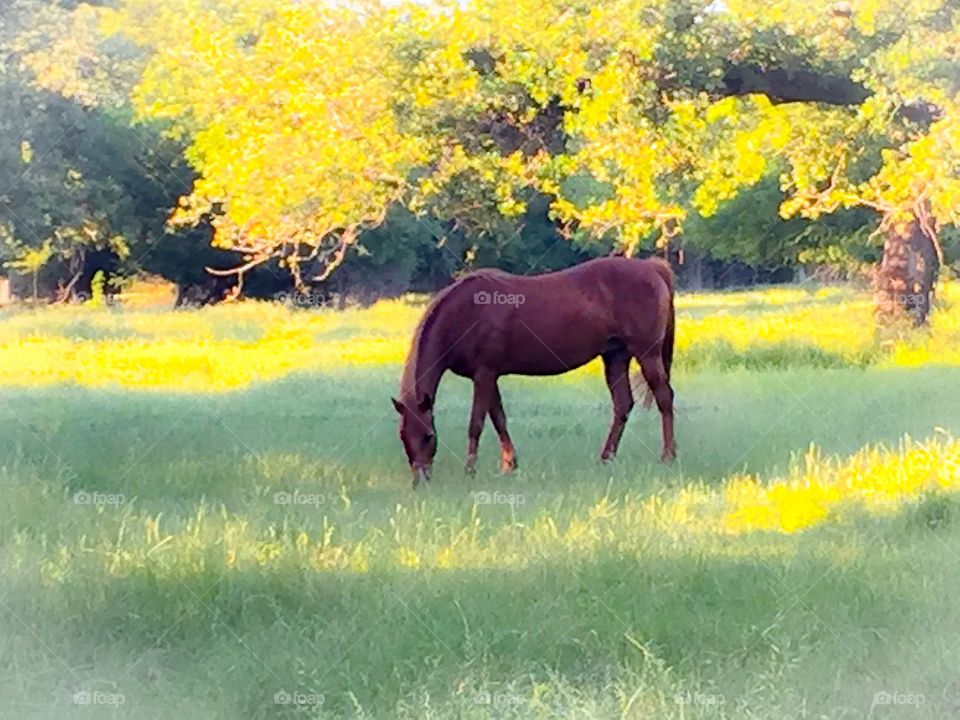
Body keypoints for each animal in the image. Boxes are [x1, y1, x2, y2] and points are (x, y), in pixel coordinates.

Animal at [392, 256, 676, 487]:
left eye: (429, 437)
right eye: (403, 437)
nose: (420, 481)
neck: (465, 313)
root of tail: (653, 267)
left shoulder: (484, 374)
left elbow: (476, 424)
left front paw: (470, 470)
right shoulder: (488, 376)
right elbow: (499, 419)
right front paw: (509, 465)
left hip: (647, 354)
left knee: (664, 398)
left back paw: (668, 456)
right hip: (616, 356)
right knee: (622, 404)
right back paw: (606, 458)